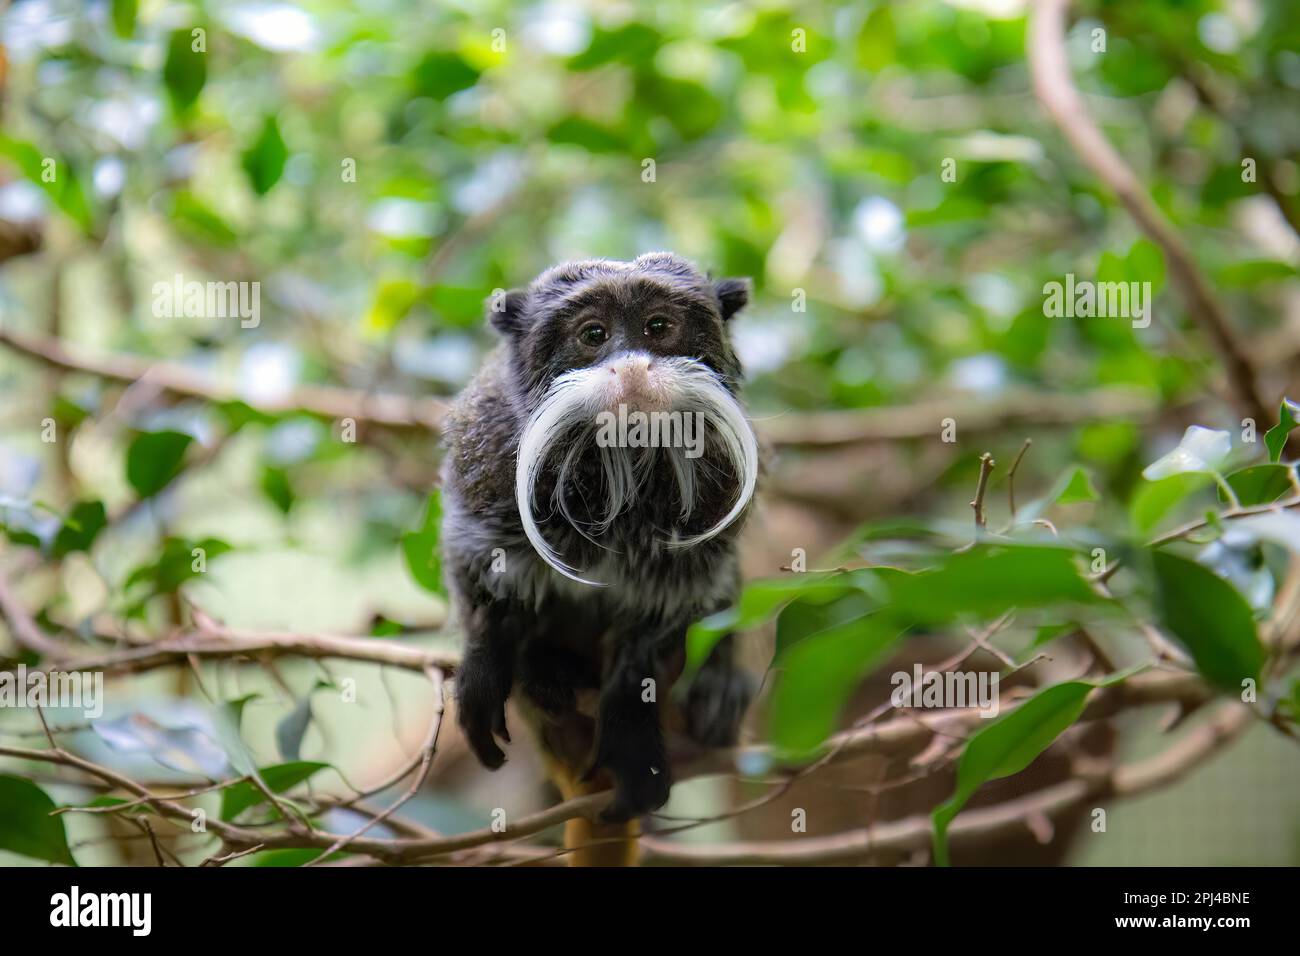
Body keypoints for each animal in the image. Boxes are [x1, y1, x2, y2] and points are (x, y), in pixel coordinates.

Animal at [441, 252, 759, 832]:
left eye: (657, 327)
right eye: (594, 334)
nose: (631, 367)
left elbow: (666, 614)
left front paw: (632, 734)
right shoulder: (488, 459)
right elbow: (480, 566)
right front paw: (484, 664)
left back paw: (719, 695)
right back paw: (547, 673)